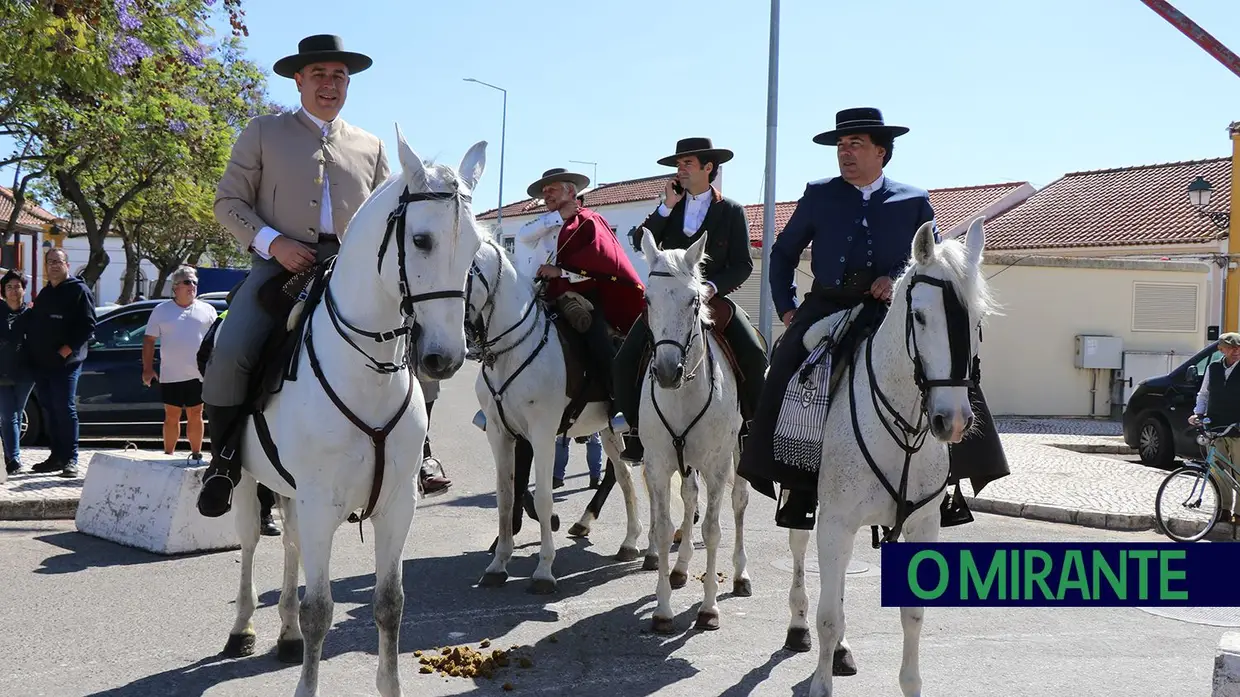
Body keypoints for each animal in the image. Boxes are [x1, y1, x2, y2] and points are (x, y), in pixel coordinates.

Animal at [218, 125, 483, 694]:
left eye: (476, 247)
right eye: (421, 240)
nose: (445, 357)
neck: (367, 371)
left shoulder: (397, 505)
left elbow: (390, 604)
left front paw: (389, 683)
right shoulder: (321, 501)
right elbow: (321, 610)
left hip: (292, 491)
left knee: (291, 545)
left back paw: (286, 635)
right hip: (248, 482)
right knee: (250, 545)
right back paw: (242, 629)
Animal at [463, 234, 639, 590]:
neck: (512, 351)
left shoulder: (542, 433)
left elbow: (543, 497)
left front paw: (544, 569)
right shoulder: (502, 434)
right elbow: (507, 496)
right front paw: (498, 563)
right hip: (608, 429)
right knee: (623, 475)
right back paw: (627, 541)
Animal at [634, 230, 748, 632]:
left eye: (694, 300)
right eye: (647, 299)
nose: (668, 371)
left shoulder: (716, 467)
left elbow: (712, 529)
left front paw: (709, 608)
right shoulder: (657, 464)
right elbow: (666, 526)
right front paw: (663, 609)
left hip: (739, 453)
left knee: (739, 502)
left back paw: (741, 575)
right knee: (688, 498)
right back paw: (681, 569)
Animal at [788, 214, 1001, 689]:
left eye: (977, 319)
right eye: (919, 316)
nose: (952, 420)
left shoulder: (922, 525)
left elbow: (913, 614)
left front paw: (910, 684)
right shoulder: (835, 521)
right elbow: (827, 617)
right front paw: (820, 683)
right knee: (796, 548)